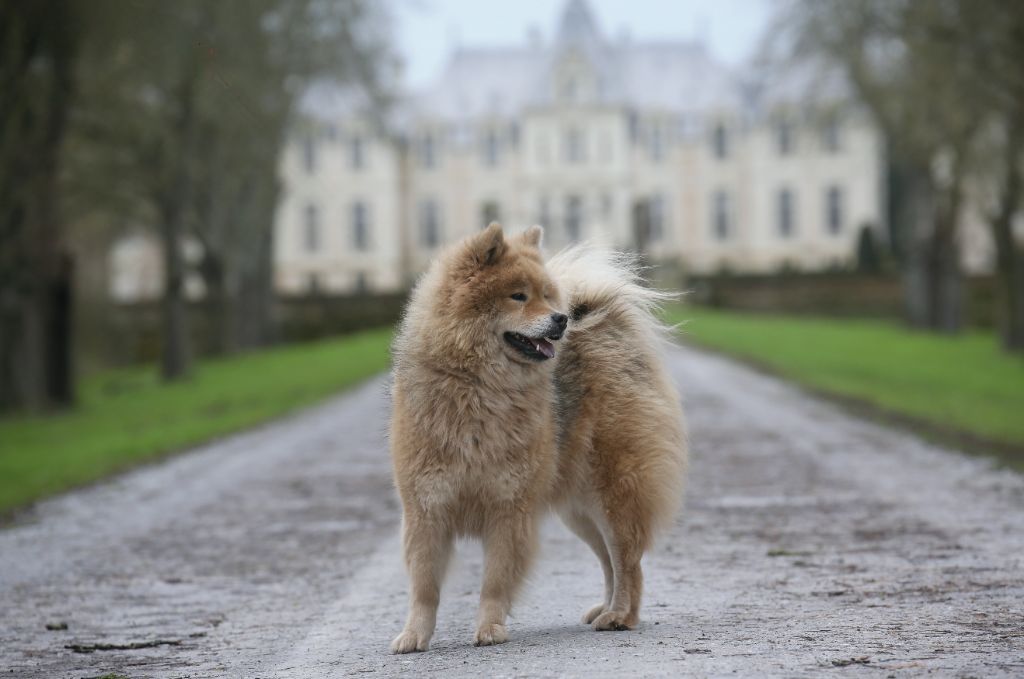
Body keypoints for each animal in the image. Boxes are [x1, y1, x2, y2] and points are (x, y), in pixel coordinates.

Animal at [389, 223, 688, 655]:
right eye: (518, 296)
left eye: (546, 296)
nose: (561, 319)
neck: (477, 388)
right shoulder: (427, 510)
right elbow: (424, 587)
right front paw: (414, 635)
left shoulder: (508, 509)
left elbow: (494, 582)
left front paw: (490, 628)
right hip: (579, 511)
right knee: (610, 561)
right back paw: (606, 609)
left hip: (613, 495)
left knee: (628, 561)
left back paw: (620, 616)